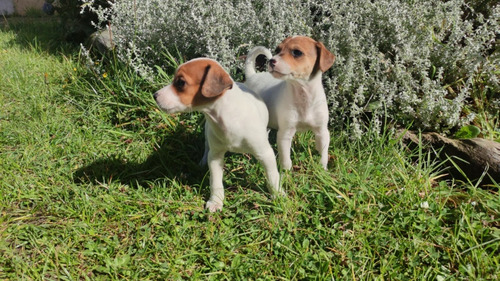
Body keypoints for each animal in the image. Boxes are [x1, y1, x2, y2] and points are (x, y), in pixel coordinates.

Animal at [153, 58, 282, 211]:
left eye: (180, 82)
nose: (154, 96)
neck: (226, 118)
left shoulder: (265, 153)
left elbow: (272, 175)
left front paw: (278, 195)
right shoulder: (216, 156)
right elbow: (215, 182)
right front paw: (216, 201)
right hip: (208, 134)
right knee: (206, 147)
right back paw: (203, 162)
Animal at [243, 36, 334, 170]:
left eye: (297, 52)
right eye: (277, 50)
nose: (271, 61)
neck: (303, 94)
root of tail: (252, 76)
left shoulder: (322, 131)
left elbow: (323, 153)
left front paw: (323, 169)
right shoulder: (285, 134)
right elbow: (286, 159)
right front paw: (286, 172)